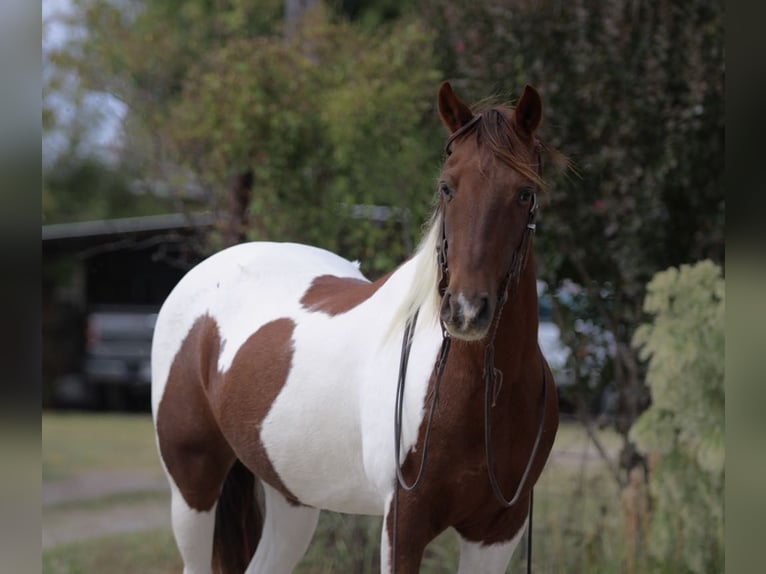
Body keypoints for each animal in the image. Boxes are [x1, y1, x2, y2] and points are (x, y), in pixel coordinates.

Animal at [151, 81, 559, 574]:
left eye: (524, 193)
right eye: (447, 187)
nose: (465, 311)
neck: (480, 392)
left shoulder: (498, 531)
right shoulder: (403, 522)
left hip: (291, 497)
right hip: (193, 485)